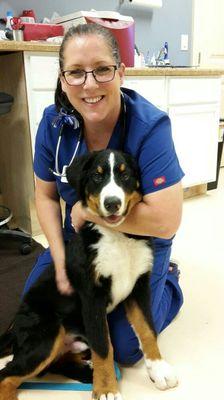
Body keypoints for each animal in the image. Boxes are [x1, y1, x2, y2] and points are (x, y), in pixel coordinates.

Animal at [0, 148, 178, 398]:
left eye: (125, 175)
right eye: (97, 176)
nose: (112, 203)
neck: (117, 237)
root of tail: (15, 325)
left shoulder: (140, 286)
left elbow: (147, 330)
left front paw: (159, 369)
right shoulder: (92, 296)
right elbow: (104, 347)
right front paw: (106, 389)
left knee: (57, 363)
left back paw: (87, 369)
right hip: (46, 336)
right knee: (7, 375)